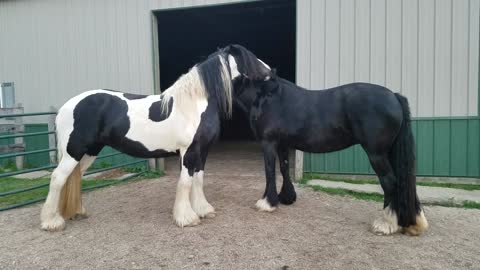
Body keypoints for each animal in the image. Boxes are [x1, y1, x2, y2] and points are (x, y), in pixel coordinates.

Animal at [39, 44, 272, 230]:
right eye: (250, 57)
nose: (272, 70)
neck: (194, 104)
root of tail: (65, 107)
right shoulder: (188, 151)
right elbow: (185, 182)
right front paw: (186, 218)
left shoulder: (203, 151)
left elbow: (198, 179)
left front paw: (203, 210)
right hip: (74, 150)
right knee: (58, 178)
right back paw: (52, 221)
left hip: (89, 151)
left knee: (74, 177)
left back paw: (76, 212)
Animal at [225, 44, 428, 236]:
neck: (268, 95)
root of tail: (394, 96)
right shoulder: (282, 144)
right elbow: (283, 168)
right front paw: (286, 198)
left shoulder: (268, 143)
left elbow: (269, 170)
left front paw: (267, 203)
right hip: (391, 152)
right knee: (403, 181)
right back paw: (413, 223)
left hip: (376, 154)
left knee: (390, 182)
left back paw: (386, 224)